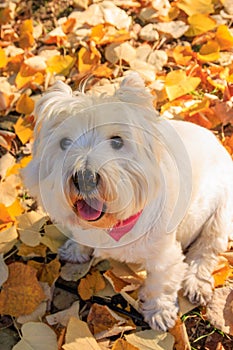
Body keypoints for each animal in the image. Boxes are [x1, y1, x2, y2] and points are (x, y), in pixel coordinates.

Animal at [22, 73, 233, 330]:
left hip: (221, 213)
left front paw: (159, 313)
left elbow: (160, 284)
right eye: (64, 143)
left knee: (206, 249)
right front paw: (75, 249)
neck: (113, 224)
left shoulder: (165, 256)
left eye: (116, 141)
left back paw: (196, 283)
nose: (85, 178)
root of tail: (216, 140)